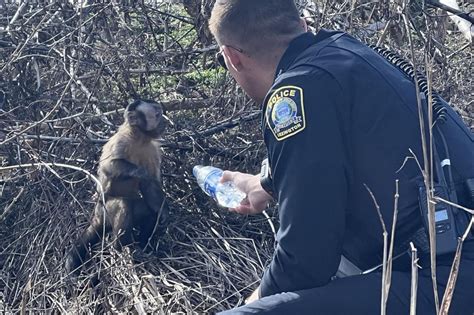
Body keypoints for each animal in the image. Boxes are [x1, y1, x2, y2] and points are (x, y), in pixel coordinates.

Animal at [65, 100, 169, 276]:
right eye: (157, 115)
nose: (163, 122)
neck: (139, 139)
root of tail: (96, 215)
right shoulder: (121, 140)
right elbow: (109, 166)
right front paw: (141, 172)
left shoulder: (153, 149)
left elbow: (150, 186)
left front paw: (163, 212)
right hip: (104, 210)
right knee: (122, 204)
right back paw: (120, 246)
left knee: (147, 211)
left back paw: (142, 246)